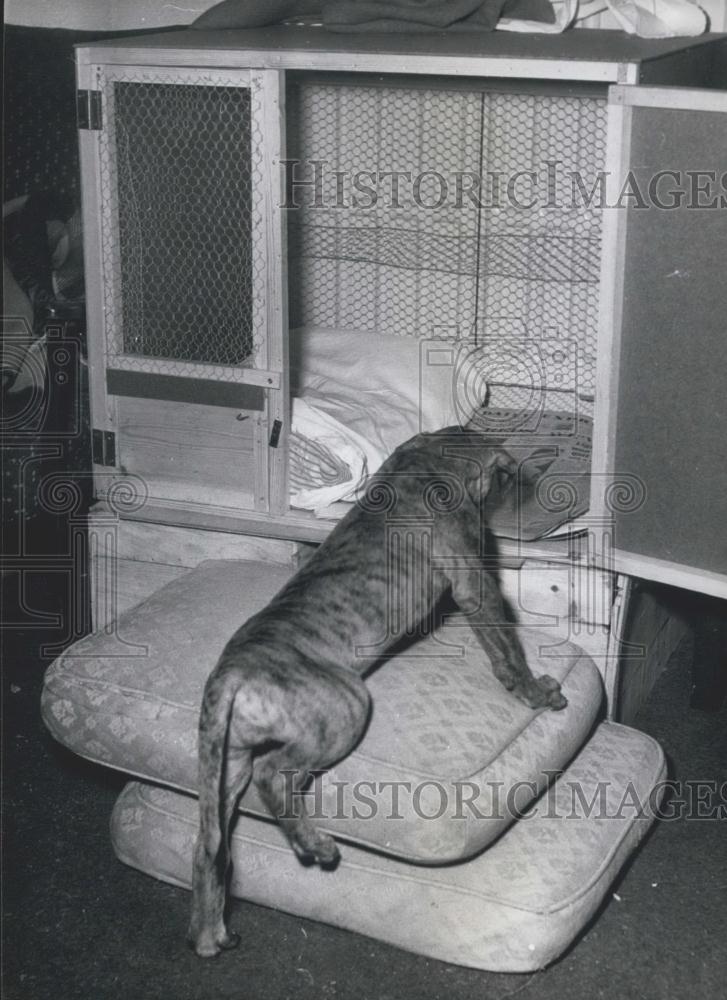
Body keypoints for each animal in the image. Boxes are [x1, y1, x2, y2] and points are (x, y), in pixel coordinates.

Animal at [188, 426, 568, 956]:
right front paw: (535, 692)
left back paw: (210, 934)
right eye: (511, 475)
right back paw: (314, 845)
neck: (433, 458)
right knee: (275, 775)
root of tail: (231, 675)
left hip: (227, 765)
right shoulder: (474, 582)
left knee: (209, 848)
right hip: (345, 708)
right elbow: (506, 649)